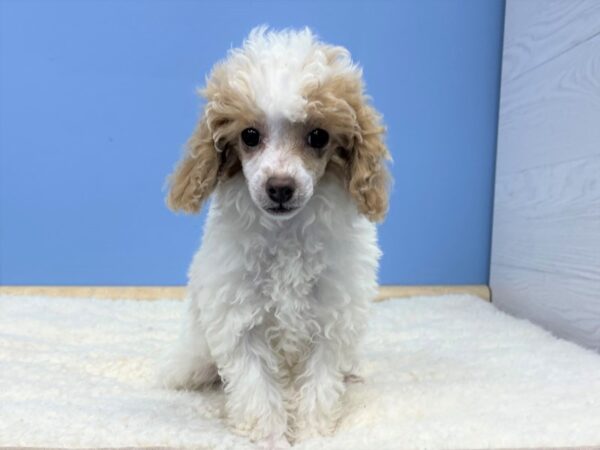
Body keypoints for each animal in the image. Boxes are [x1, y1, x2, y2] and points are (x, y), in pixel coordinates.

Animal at [159, 27, 392, 446]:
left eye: (318, 137)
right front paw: (270, 437)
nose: (280, 187)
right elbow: (255, 389)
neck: (287, 234)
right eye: (250, 136)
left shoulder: (332, 318)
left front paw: (313, 435)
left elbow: (320, 385)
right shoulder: (238, 320)